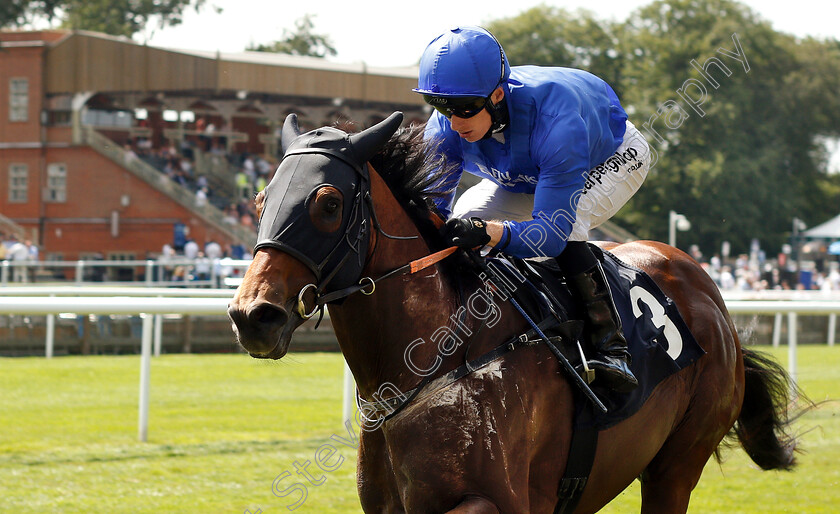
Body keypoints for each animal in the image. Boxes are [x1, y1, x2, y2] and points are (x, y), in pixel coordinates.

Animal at [228, 113, 800, 512]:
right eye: (259, 201)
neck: (438, 356)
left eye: (327, 203)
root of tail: (707, 291)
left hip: (676, 465)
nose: (253, 316)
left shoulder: (502, 500)